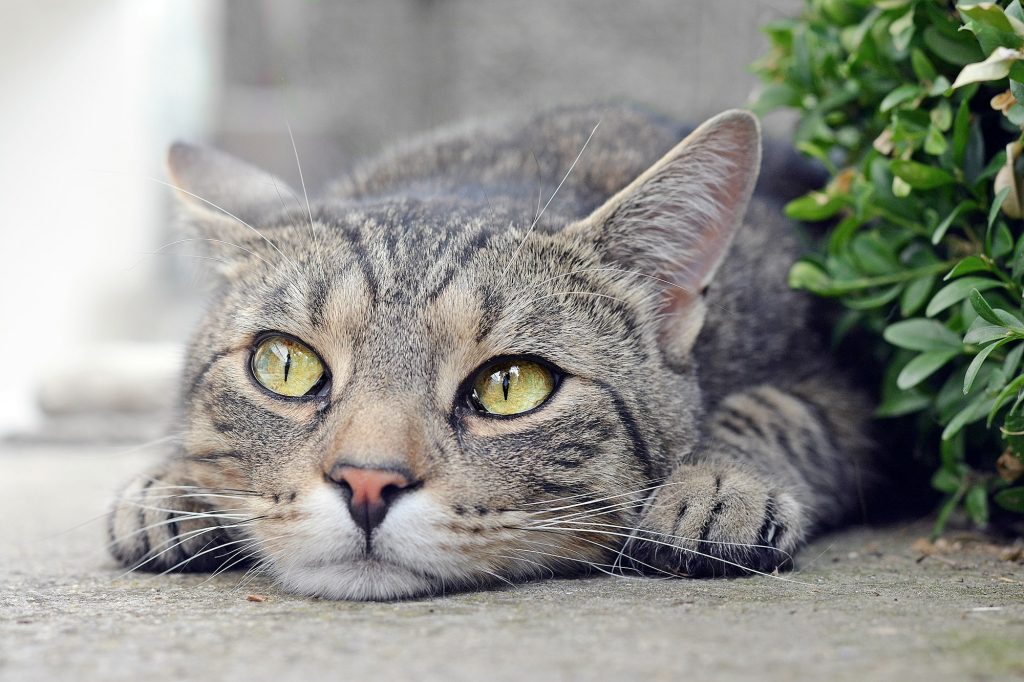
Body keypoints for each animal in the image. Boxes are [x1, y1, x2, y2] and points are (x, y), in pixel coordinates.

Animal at [110, 103, 872, 598]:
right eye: (287, 366)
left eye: (511, 384)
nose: (366, 482)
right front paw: (168, 485)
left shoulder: (849, 386)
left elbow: (775, 409)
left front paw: (717, 482)